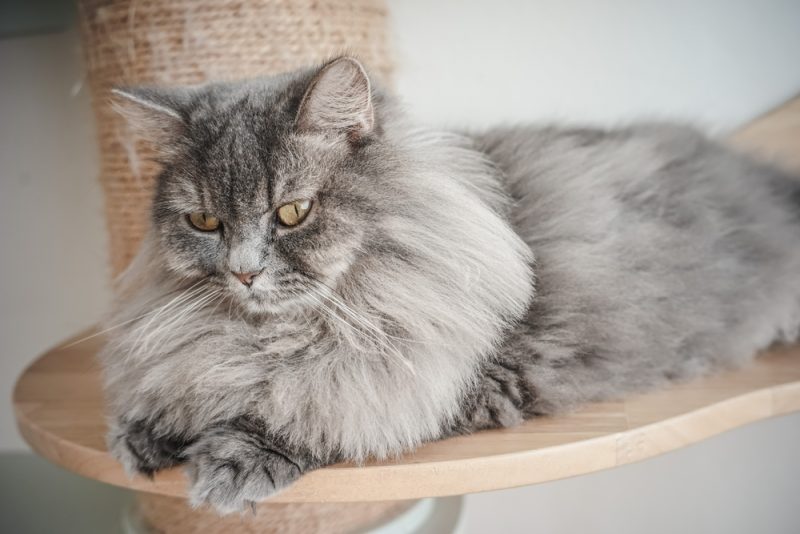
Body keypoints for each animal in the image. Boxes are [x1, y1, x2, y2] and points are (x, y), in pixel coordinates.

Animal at [100, 55, 800, 516]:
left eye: (292, 213)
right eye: (204, 222)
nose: (243, 271)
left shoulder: (439, 374)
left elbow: (318, 403)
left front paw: (229, 459)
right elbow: (198, 380)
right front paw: (149, 432)